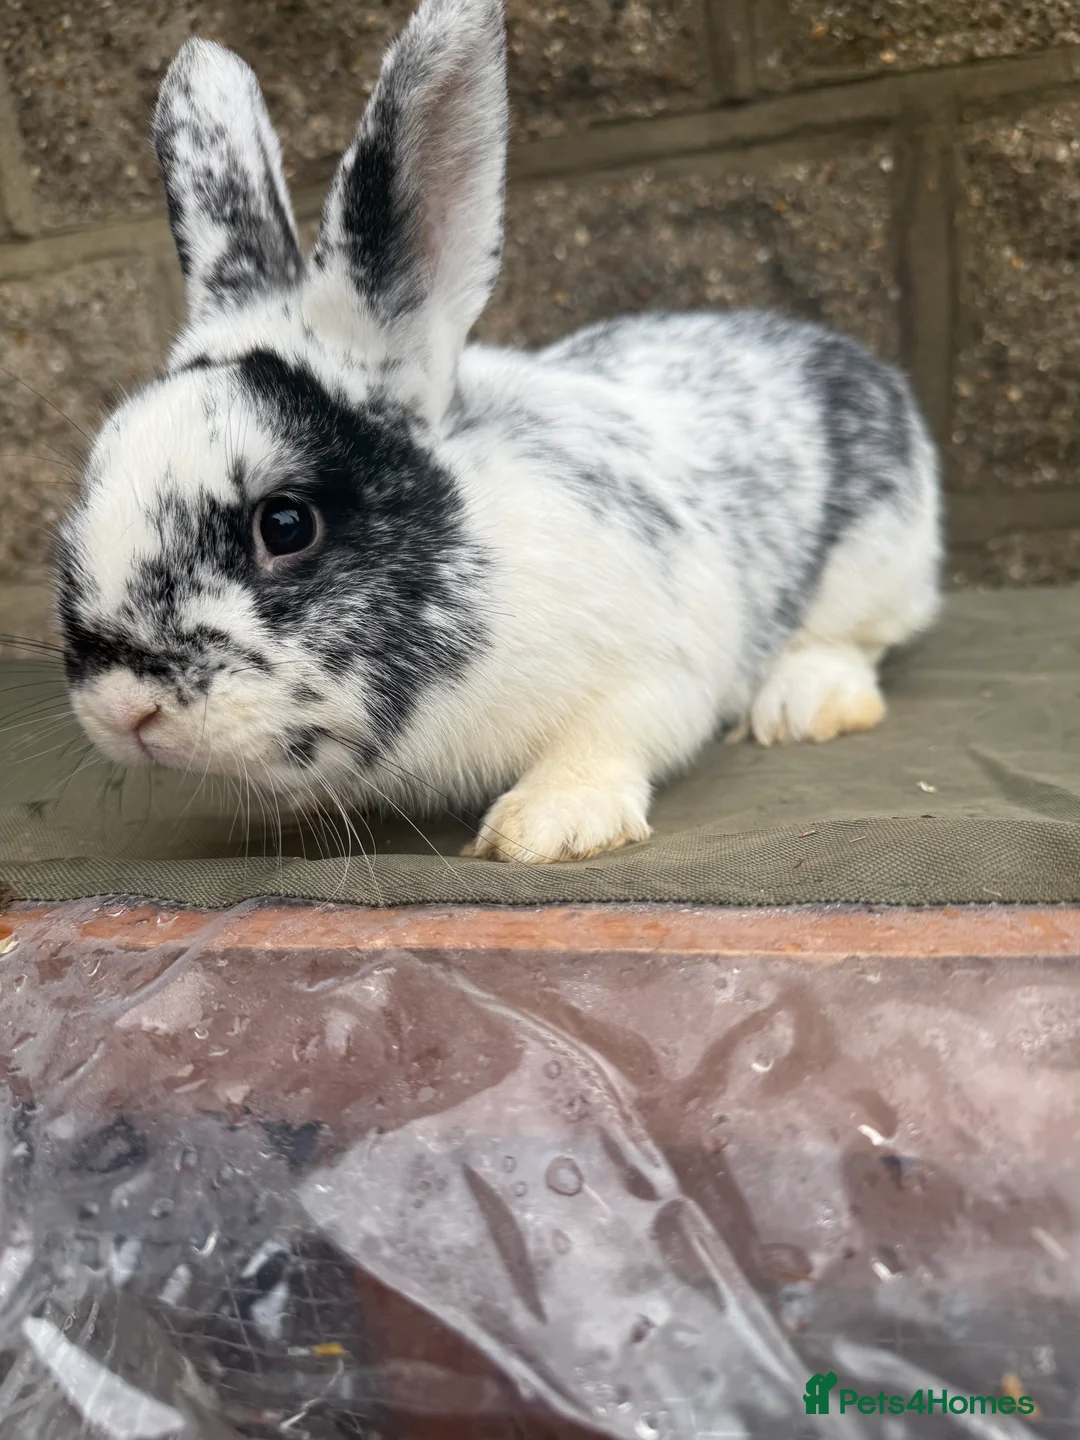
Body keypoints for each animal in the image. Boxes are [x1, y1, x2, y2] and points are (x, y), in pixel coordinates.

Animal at [56, 0, 942, 865]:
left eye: (285, 523)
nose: (124, 710)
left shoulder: (651, 672)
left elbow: (605, 742)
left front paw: (547, 827)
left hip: (878, 559)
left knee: (856, 636)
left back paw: (803, 705)